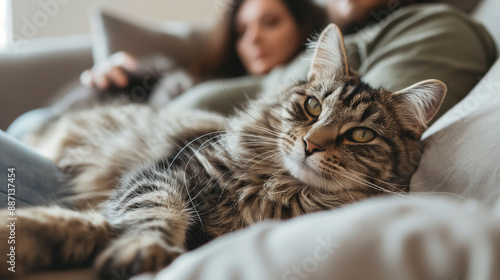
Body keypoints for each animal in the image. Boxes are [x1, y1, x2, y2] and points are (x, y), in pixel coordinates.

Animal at [0, 25, 446, 278]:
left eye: (360, 135)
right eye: (312, 107)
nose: (311, 144)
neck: (273, 189)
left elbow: (96, 226)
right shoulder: (164, 174)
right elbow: (146, 211)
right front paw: (144, 247)